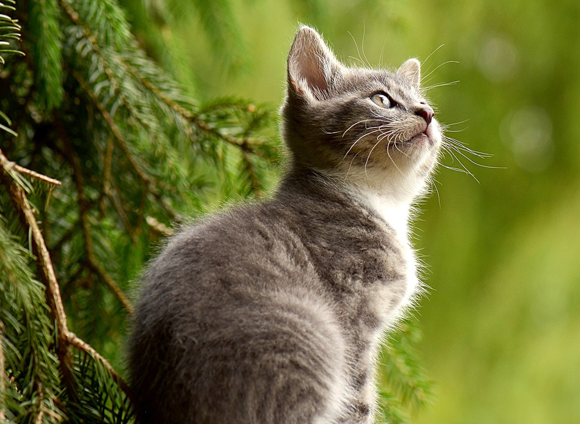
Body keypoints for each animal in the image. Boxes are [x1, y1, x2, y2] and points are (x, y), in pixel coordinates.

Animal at [129, 24, 442, 422]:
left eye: (424, 100)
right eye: (382, 99)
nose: (427, 112)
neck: (379, 201)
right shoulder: (354, 320)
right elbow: (359, 401)